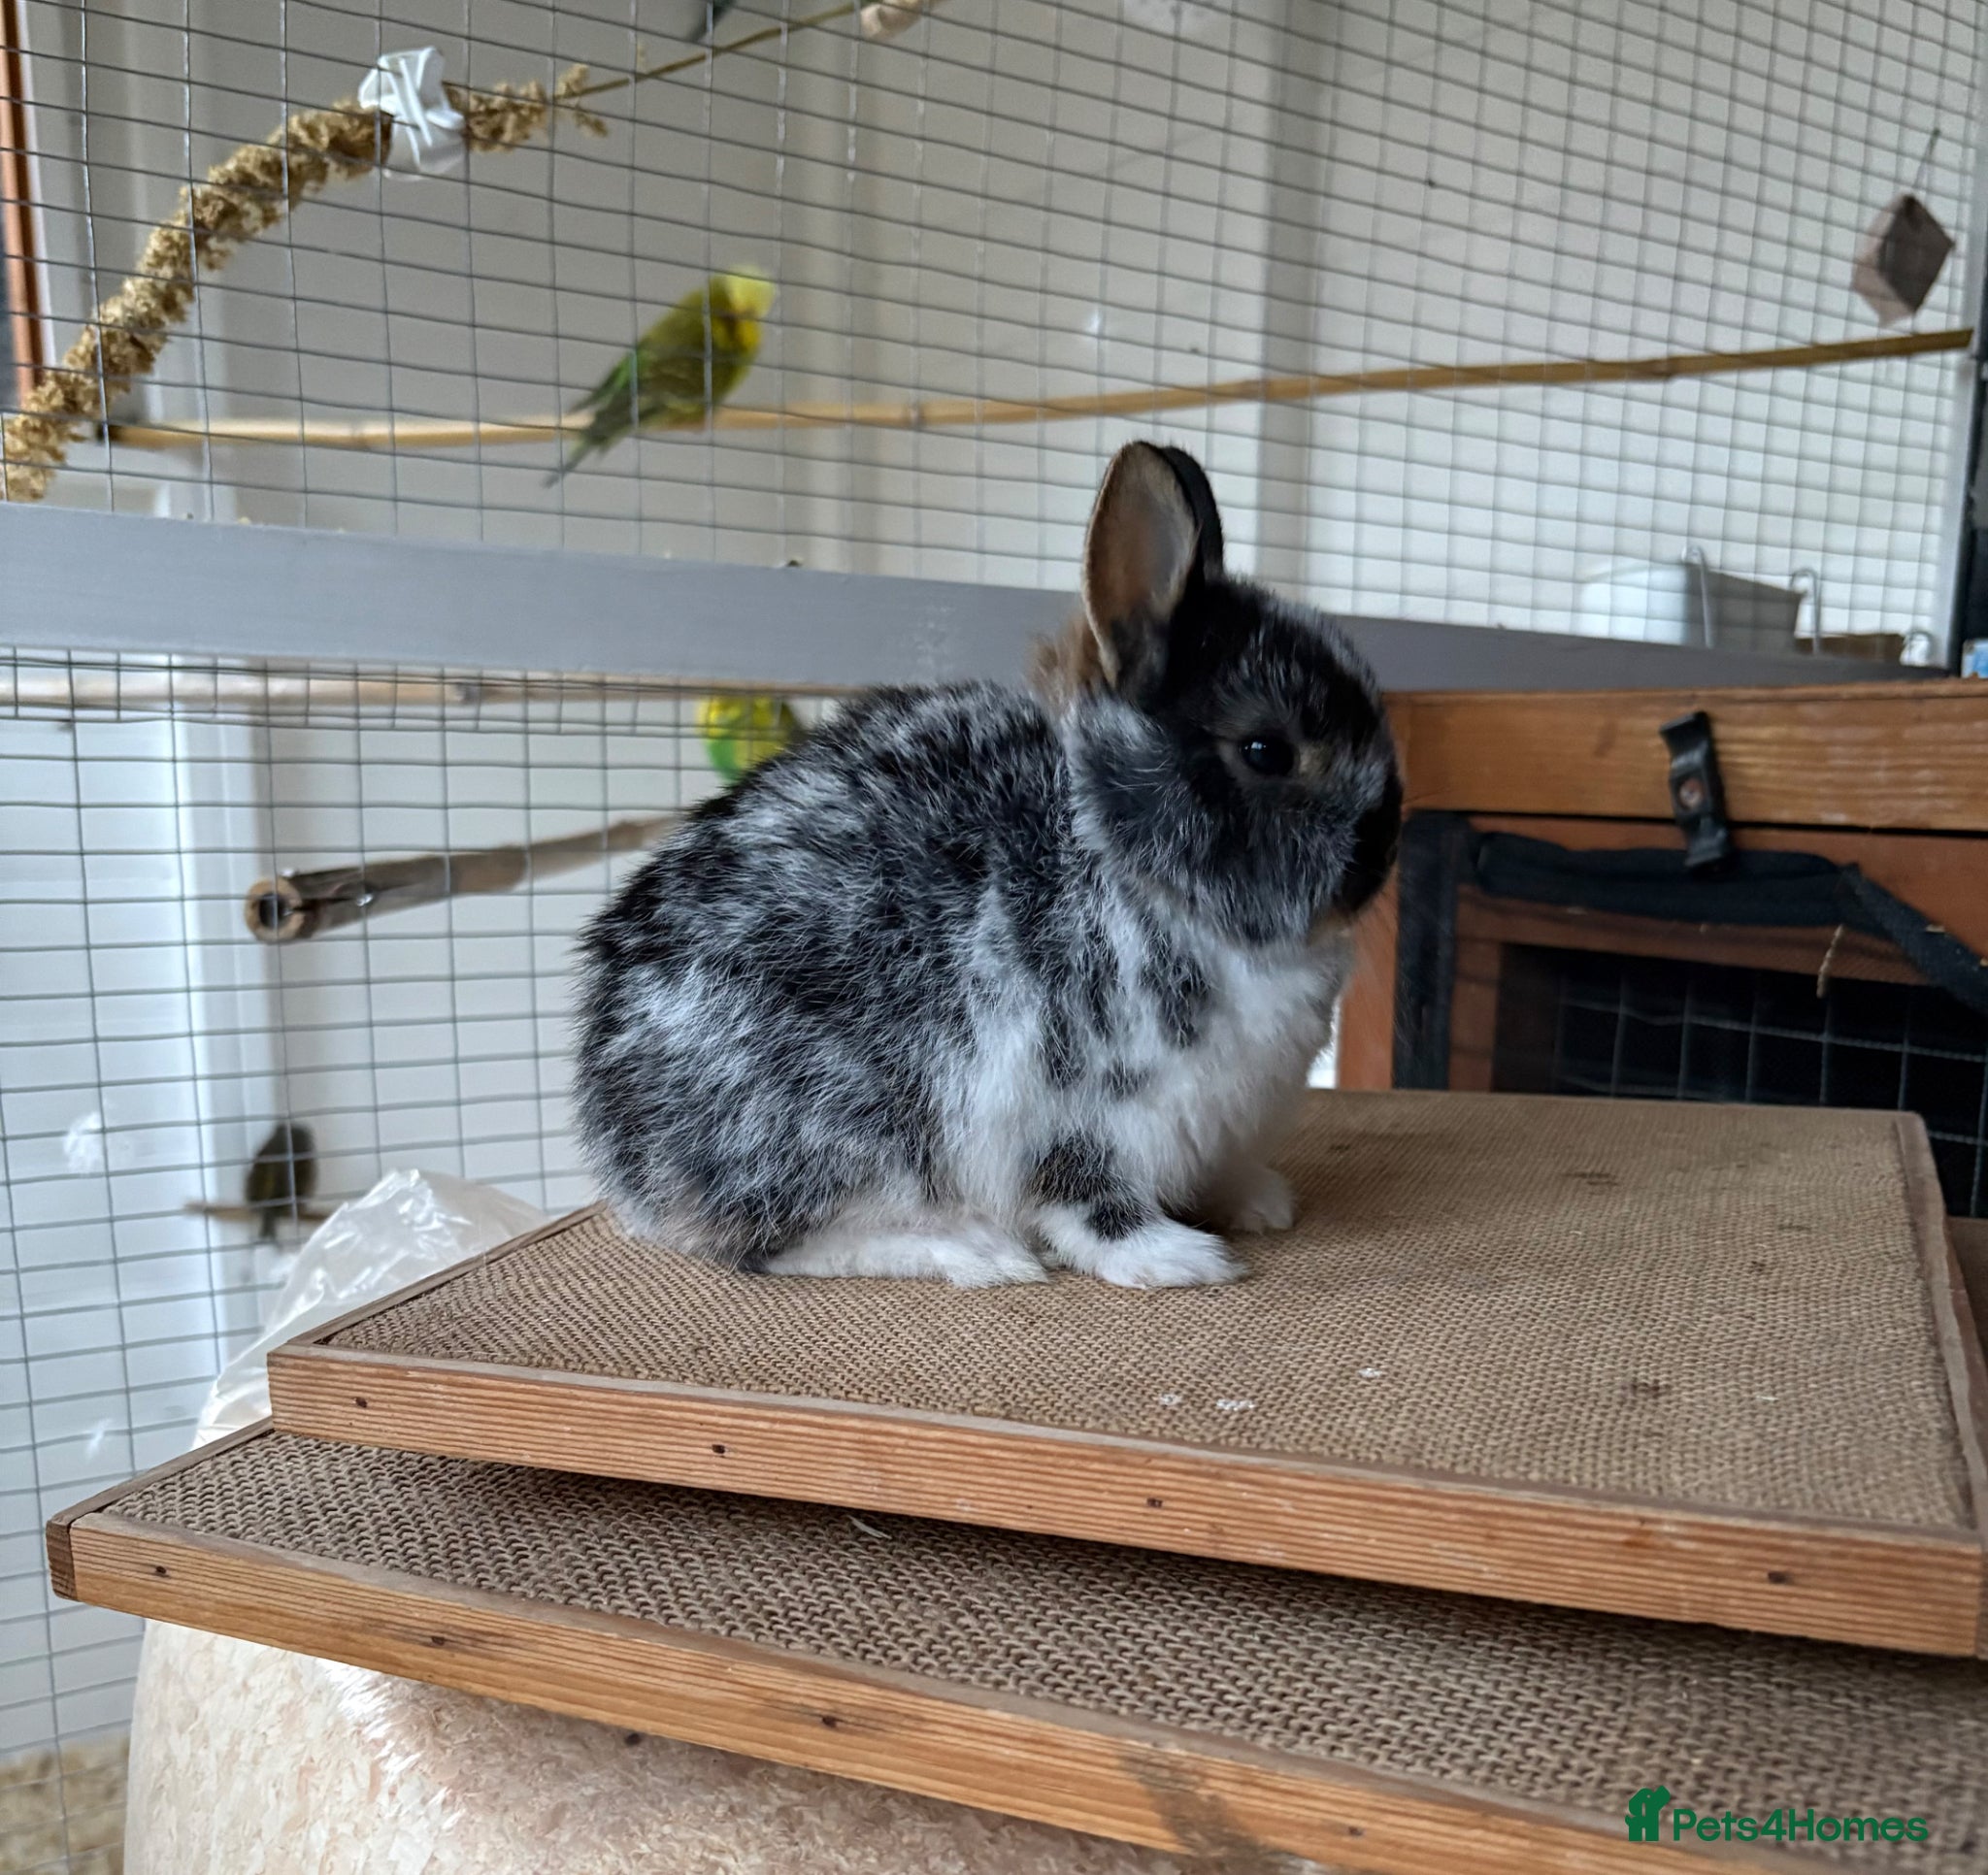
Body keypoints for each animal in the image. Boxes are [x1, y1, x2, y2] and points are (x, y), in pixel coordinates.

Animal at [574, 441, 1401, 1287]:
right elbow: (1089, 1201)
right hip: (835, 1122)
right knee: (776, 1242)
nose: (1378, 858)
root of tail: (624, 1156)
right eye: (1266, 751)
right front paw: (1175, 1260)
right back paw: (976, 1252)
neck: (1119, 860)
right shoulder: (1074, 1106)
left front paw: (1258, 1203)